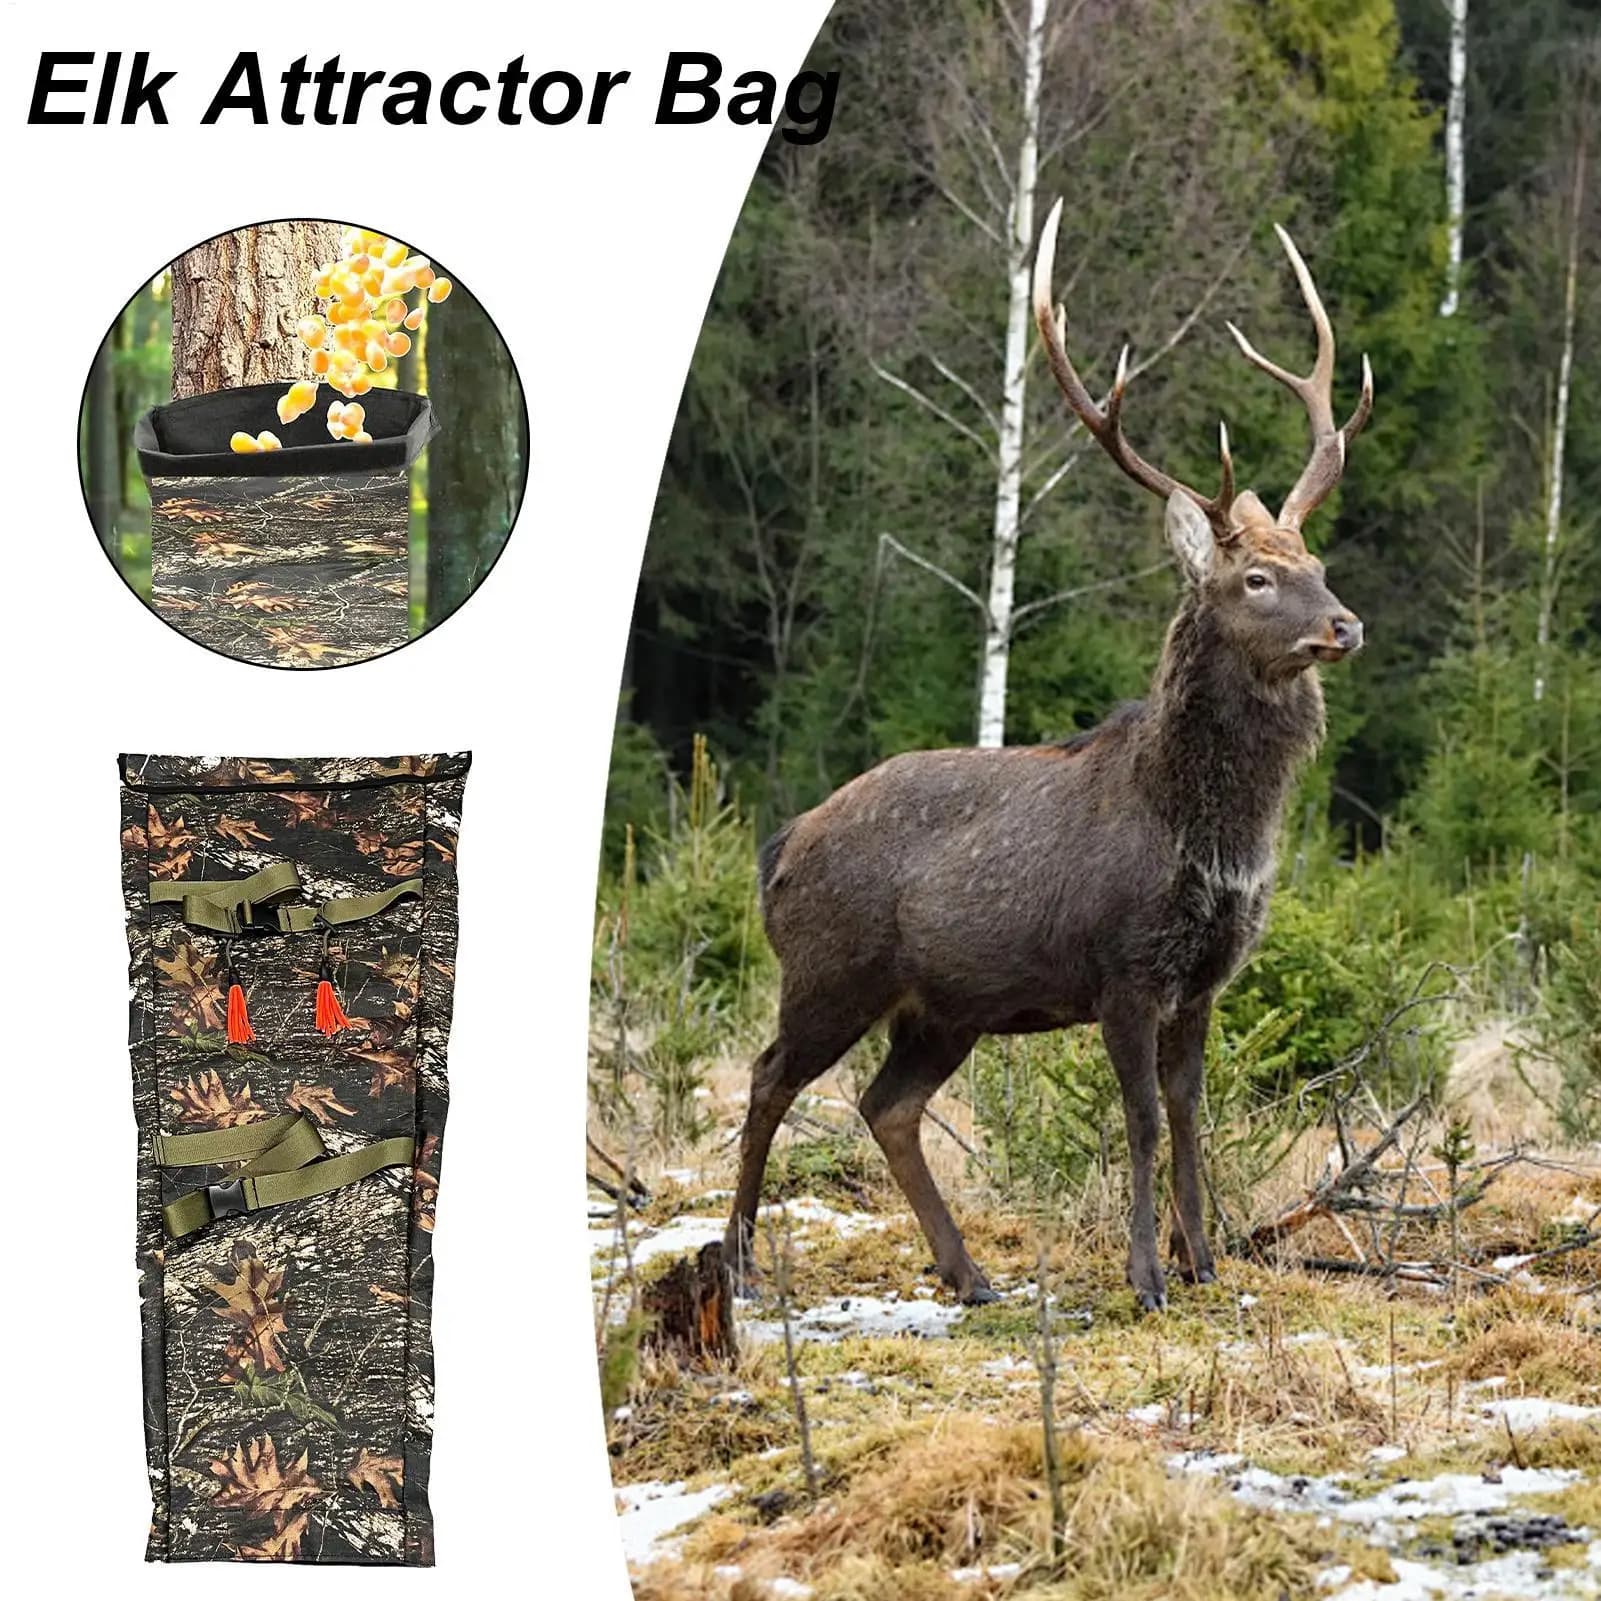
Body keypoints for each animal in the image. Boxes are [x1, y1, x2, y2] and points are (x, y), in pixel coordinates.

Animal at [722, 198, 1373, 1312]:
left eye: (1315, 561)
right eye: (1252, 577)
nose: (1343, 624)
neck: (1210, 837)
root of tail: (781, 844)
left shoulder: (1204, 976)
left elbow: (1192, 1112)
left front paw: (1203, 1261)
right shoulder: (1120, 966)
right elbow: (1142, 1119)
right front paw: (1147, 1275)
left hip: (941, 1008)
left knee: (885, 1104)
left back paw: (970, 1272)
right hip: (830, 968)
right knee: (770, 1076)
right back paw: (738, 1261)